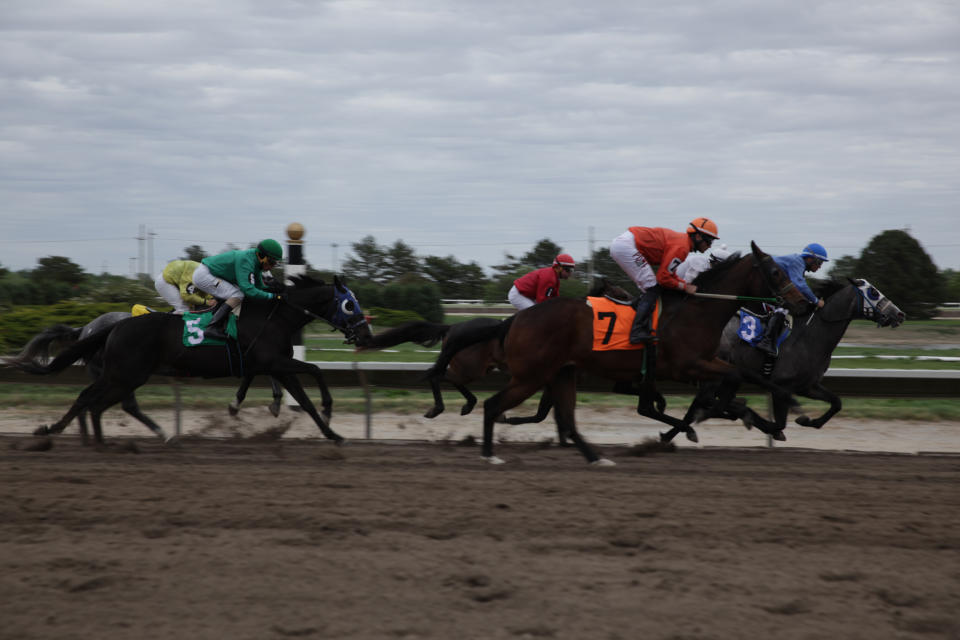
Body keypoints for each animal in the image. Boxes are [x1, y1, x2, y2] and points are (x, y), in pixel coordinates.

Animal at [11, 276, 372, 444]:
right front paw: (328, 409)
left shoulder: (274, 365)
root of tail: (109, 326)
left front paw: (333, 435)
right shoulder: (274, 362)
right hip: (124, 373)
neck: (274, 315)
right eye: (349, 304)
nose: (366, 335)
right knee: (96, 400)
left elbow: (303, 400)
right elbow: (315, 370)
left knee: (96, 400)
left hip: (122, 374)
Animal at [360, 278, 632, 424]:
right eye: (617, 292)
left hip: (475, 368)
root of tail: (452, 326)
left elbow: (543, 412)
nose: (632, 298)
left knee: (448, 378)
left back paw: (467, 404)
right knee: (439, 376)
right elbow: (542, 413)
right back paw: (438, 408)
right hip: (470, 366)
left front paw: (505, 417)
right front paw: (506, 417)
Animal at [428, 241, 808, 464]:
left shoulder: (697, 365)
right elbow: (734, 378)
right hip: (531, 375)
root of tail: (516, 319)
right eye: (775, 272)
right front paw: (737, 412)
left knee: (566, 418)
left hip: (561, 372)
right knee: (493, 404)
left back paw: (596, 457)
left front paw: (784, 406)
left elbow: (744, 375)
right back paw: (489, 454)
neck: (697, 309)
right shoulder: (686, 366)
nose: (802, 302)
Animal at [664, 278, 904, 442]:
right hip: (714, 374)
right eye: (873, 292)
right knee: (706, 402)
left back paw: (673, 433)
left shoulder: (808, 385)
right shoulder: (782, 386)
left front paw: (809, 421)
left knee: (705, 403)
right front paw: (771, 426)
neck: (811, 336)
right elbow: (779, 423)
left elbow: (836, 402)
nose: (899, 314)